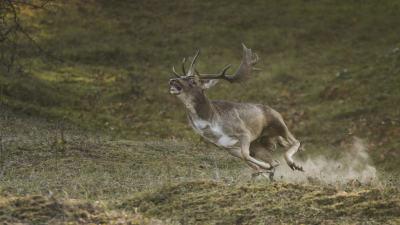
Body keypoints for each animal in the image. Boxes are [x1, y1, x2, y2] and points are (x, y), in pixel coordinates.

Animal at [169, 44, 304, 181]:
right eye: (181, 77)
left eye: (193, 81)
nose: (172, 80)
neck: (212, 125)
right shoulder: (227, 146)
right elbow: (250, 161)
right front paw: (263, 170)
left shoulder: (243, 132)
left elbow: (246, 156)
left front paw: (265, 168)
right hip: (257, 143)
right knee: (275, 160)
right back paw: (272, 174)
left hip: (278, 123)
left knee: (295, 142)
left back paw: (294, 165)